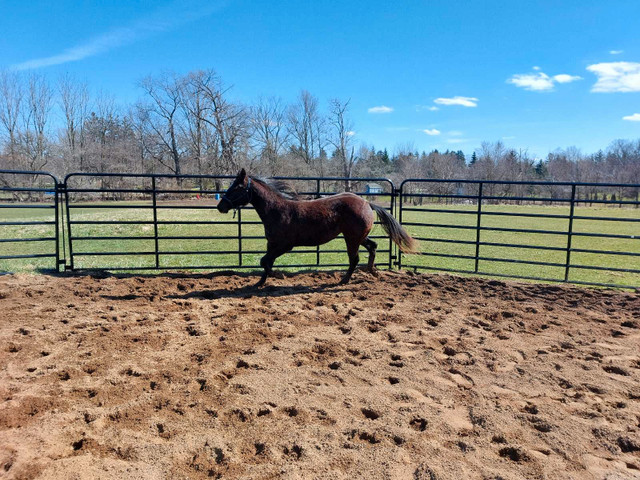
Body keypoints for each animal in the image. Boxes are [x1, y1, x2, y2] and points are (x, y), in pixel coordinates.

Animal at [218, 169, 418, 284]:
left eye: (237, 187)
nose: (221, 206)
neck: (277, 210)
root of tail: (367, 203)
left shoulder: (284, 246)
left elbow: (265, 262)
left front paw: (277, 276)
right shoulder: (272, 244)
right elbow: (265, 261)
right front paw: (260, 282)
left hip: (352, 239)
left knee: (354, 259)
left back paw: (344, 280)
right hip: (358, 237)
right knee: (373, 246)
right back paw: (372, 271)